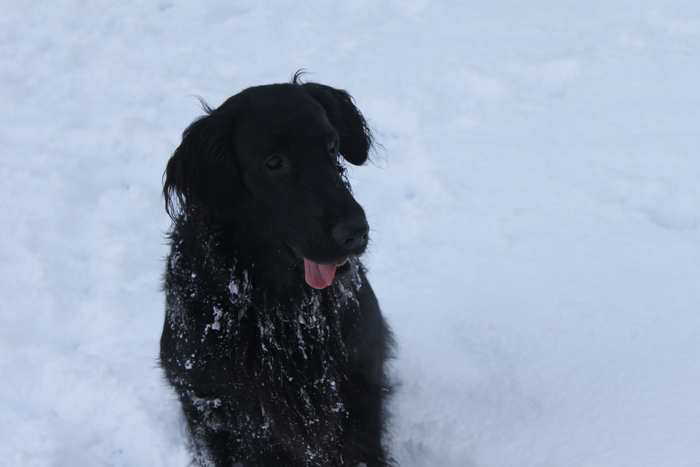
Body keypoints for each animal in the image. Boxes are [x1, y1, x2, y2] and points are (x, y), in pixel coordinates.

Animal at [161, 75, 396, 466]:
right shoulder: (206, 401)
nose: (356, 232)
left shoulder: (361, 393)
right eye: (274, 163)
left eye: (331, 145)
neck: (280, 310)